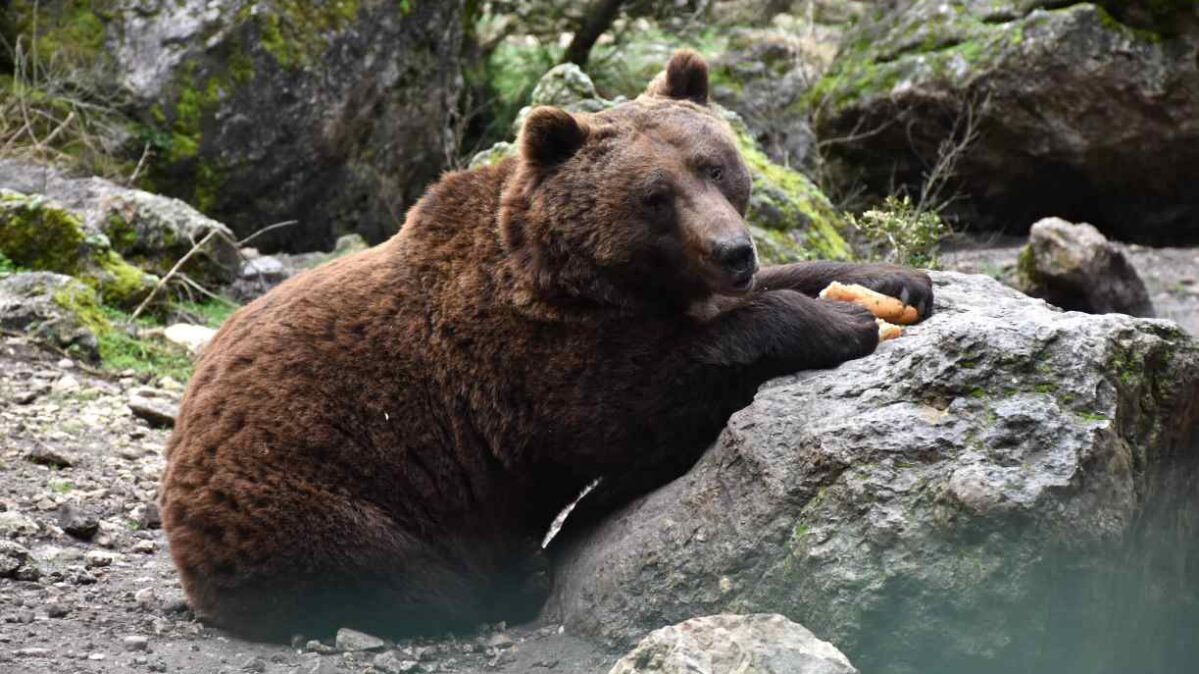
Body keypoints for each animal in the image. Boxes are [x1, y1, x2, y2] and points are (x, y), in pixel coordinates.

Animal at [157, 49, 925, 638]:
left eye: (714, 166)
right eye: (654, 195)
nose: (732, 250)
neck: (586, 279)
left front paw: (894, 282)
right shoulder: (518, 358)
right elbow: (635, 399)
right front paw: (839, 325)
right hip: (303, 493)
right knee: (384, 569)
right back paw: (512, 579)